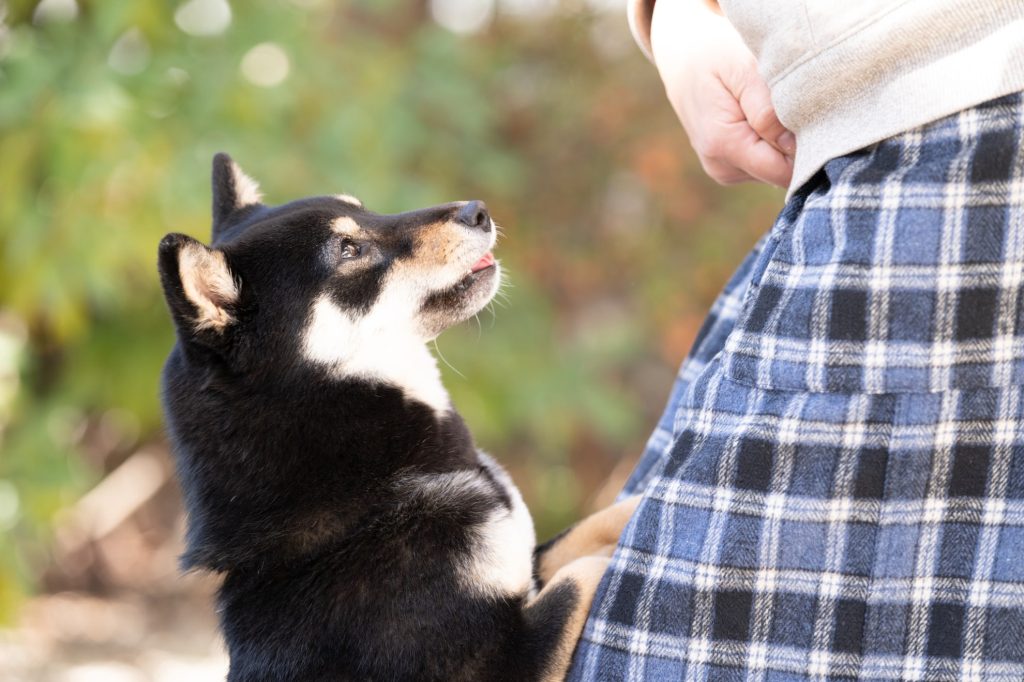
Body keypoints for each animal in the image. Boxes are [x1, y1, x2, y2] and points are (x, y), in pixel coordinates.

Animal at [155, 153, 634, 679]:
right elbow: (580, 575)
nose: (477, 211)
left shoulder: (524, 559)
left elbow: (585, 531)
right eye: (349, 250)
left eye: (364, 210)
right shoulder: (501, 660)